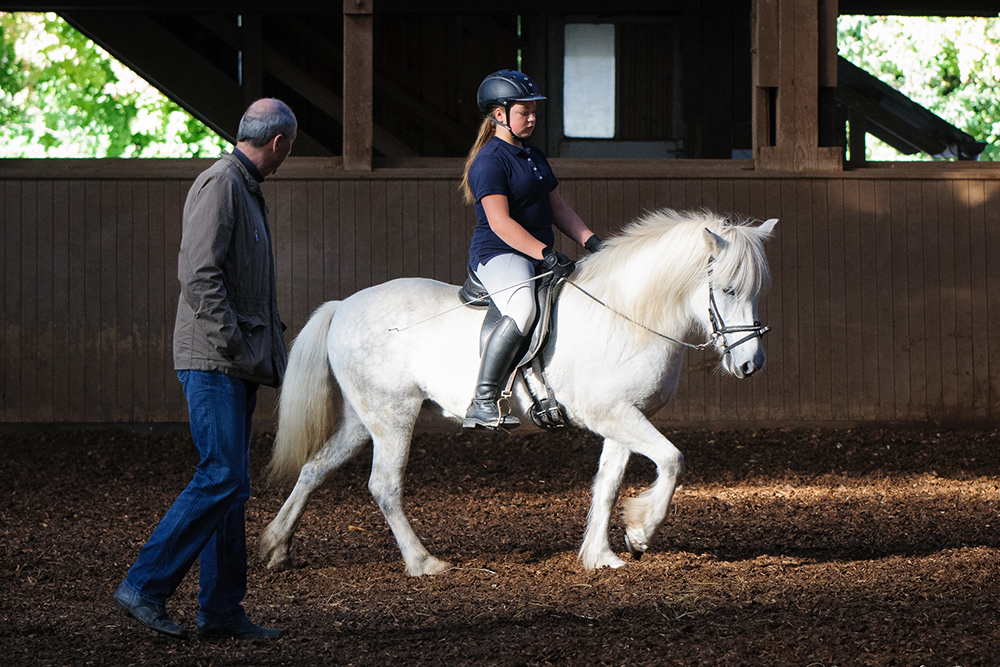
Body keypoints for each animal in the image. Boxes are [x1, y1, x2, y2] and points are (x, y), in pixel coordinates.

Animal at [262, 209, 776, 576]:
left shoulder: (622, 417)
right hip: (392, 416)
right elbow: (672, 460)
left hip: (362, 418)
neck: (627, 313)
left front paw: (601, 555)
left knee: (315, 468)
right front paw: (641, 530)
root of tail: (342, 305)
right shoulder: (613, 414)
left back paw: (275, 546)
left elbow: (608, 483)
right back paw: (424, 563)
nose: (751, 365)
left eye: (756, 291)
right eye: (728, 289)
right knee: (384, 486)